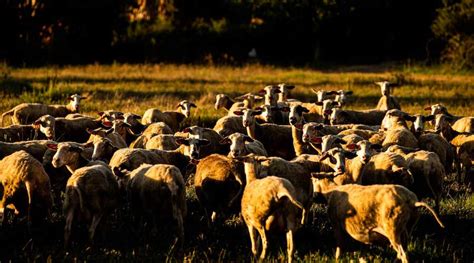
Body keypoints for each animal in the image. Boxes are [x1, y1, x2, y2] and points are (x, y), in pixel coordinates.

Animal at [312, 182, 444, 263]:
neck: (331, 191)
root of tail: (412, 201)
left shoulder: (336, 226)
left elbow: (339, 246)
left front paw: (337, 259)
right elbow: (363, 250)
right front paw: (362, 258)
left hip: (393, 230)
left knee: (404, 255)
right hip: (407, 228)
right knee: (402, 252)